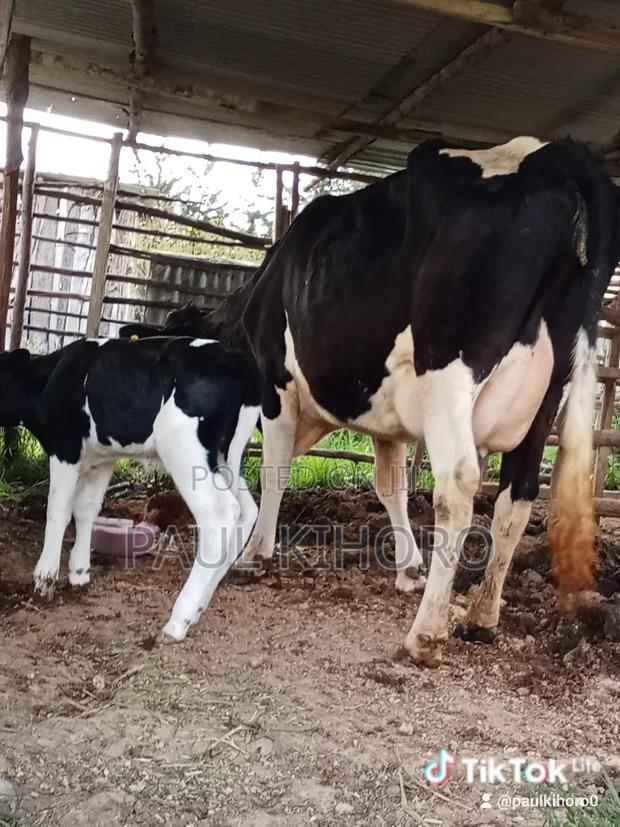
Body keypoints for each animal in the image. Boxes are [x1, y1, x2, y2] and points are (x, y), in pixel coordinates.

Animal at [0, 337, 260, 640]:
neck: (49, 378)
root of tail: (240, 361)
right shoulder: (102, 458)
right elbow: (86, 509)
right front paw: (79, 573)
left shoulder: (65, 447)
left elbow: (58, 509)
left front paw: (45, 579)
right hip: (224, 457)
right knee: (246, 511)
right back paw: (198, 608)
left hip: (185, 450)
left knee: (219, 513)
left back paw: (178, 620)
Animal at [237, 136, 618, 667]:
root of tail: (553, 154)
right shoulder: (385, 420)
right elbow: (390, 487)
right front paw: (408, 568)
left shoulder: (276, 382)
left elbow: (274, 470)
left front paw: (254, 554)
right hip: (550, 389)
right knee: (517, 495)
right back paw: (481, 617)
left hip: (447, 370)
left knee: (457, 487)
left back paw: (426, 633)